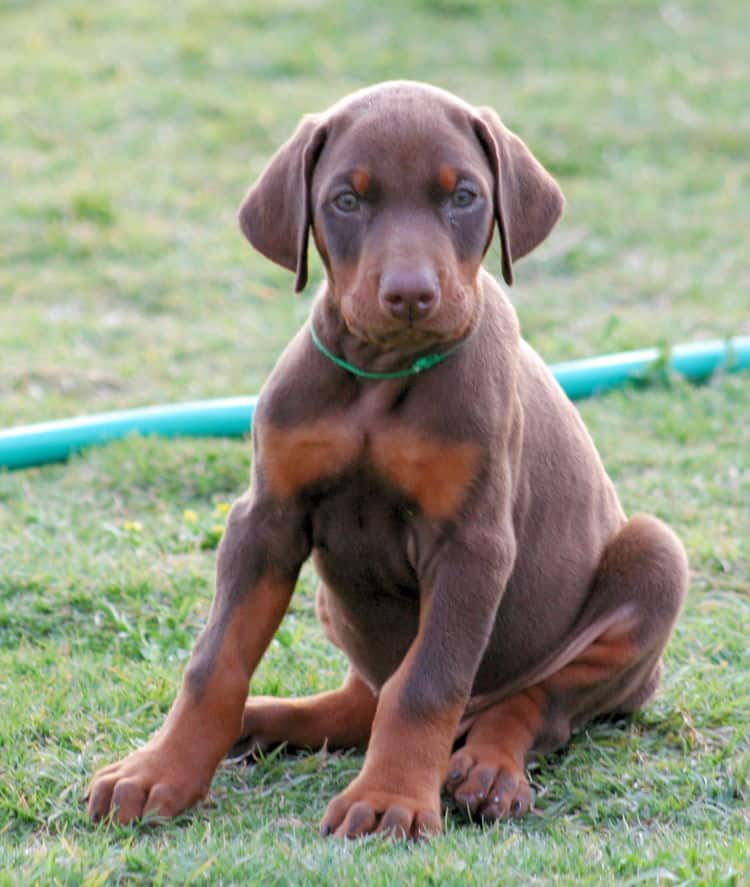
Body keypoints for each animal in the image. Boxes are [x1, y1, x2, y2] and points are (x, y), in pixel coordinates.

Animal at [85, 81, 692, 840]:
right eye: (347, 199)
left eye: (463, 196)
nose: (409, 294)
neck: (380, 376)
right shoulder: (266, 518)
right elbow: (215, 661)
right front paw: (159, 770)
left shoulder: (471, 543)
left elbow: (426, 683)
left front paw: (391, 797)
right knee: (362, 699)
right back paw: (263, 722)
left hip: (653, 561)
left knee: (532, 705)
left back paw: (488, 769)